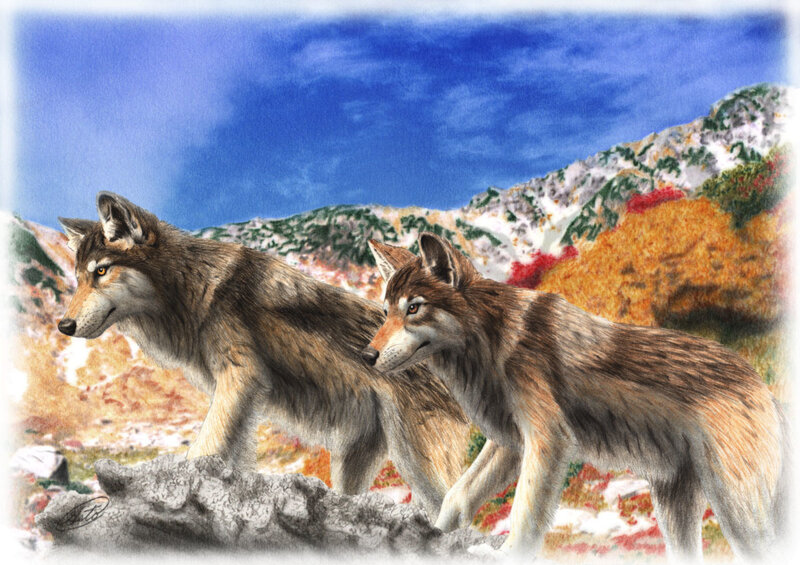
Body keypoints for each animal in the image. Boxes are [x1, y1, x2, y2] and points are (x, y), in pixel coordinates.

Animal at [56, 191, 519, 525]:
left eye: (101, 272)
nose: (64, 325)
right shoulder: (241, 393)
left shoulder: (240, 380)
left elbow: (206, 447)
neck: (195, 290)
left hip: (417, 461)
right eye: (79, 277)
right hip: (355, 457)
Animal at [365, 233, 789, 562]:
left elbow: (524, 515)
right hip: (676, 510)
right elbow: (457, 496)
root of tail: (763, 388)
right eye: (386, 313)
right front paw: (435, 535)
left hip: (739, 514)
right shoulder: (509, 444)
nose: (367, 355)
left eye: (414, 308)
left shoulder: (547, 441)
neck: (490, 340)